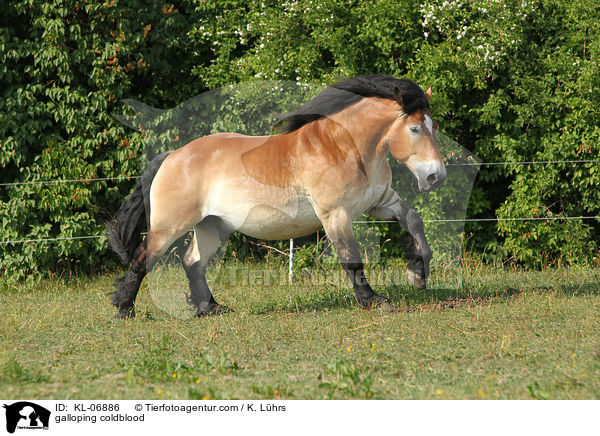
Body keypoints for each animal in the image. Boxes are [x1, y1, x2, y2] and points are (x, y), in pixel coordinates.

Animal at [106, 75, 446, 318]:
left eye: (435, 126)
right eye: (415, 129)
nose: (435, 177)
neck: (344, 146)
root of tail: (173, 156)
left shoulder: (379, 203)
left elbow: (413, 219)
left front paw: (418, 271)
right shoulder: (335, 213)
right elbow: (351, 258)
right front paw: (373, 300)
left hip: (212, 225)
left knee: (193, 263)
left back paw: (211, 309)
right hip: (170, 225)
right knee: (143, 258)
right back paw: (124, 309)